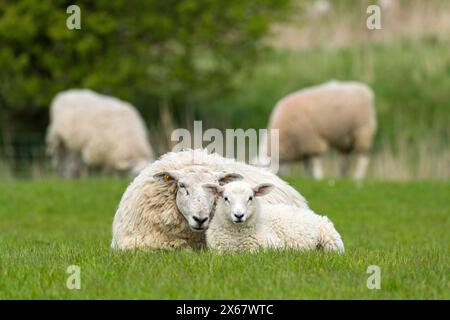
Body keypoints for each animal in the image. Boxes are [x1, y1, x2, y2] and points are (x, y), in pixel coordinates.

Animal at [204, 181, 344, 254]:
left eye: (250, 198)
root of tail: (313, 213)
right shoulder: (218, 251)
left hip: (332, 242)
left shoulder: (270, 246)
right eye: (225, 198)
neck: (236, 237)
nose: (239, 215)